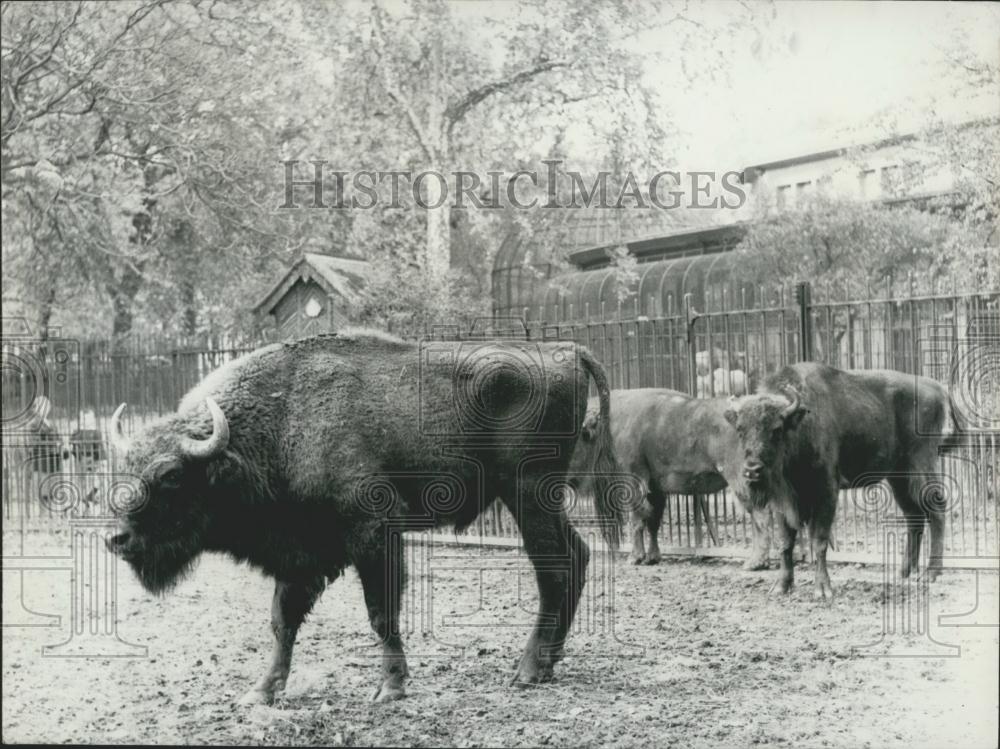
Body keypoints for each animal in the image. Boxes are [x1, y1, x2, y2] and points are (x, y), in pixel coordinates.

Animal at [106, 331, 624, 704]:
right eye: (126, 465)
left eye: (171, 474)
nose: (118, 539)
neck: (281, 420)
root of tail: (566, 351)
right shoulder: (301, 556)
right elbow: (282, 621)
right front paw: (262, 691)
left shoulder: (374, 533)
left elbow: (381, 613)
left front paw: (390, 688)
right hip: (540, 499)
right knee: (576, 558)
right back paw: (548, 663)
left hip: (527, 493)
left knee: (554, 569)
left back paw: (527, 671)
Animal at [571, 388, 772, 568]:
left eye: (575, 438)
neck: (605, 426)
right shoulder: (655, 488)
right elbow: (653, 520)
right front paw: (652, 557)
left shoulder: (633, 482)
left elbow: (637, 519)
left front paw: (635, 558)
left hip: (739, 478)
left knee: (758, 514)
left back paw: (755, 562)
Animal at [723, 362, 962, 599]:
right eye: (740, 429)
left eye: (777, 429)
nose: (752, 470)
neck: (801, 423)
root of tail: (936, 388)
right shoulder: (783, 499)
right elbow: (785, 542)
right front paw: (781, 586)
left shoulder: (827, 491)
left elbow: (819, 540)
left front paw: (823, 589)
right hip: (898, 478)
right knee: (914, 516)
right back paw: (903, 573)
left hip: (920, 467)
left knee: (936, 509)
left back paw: (930, 573)